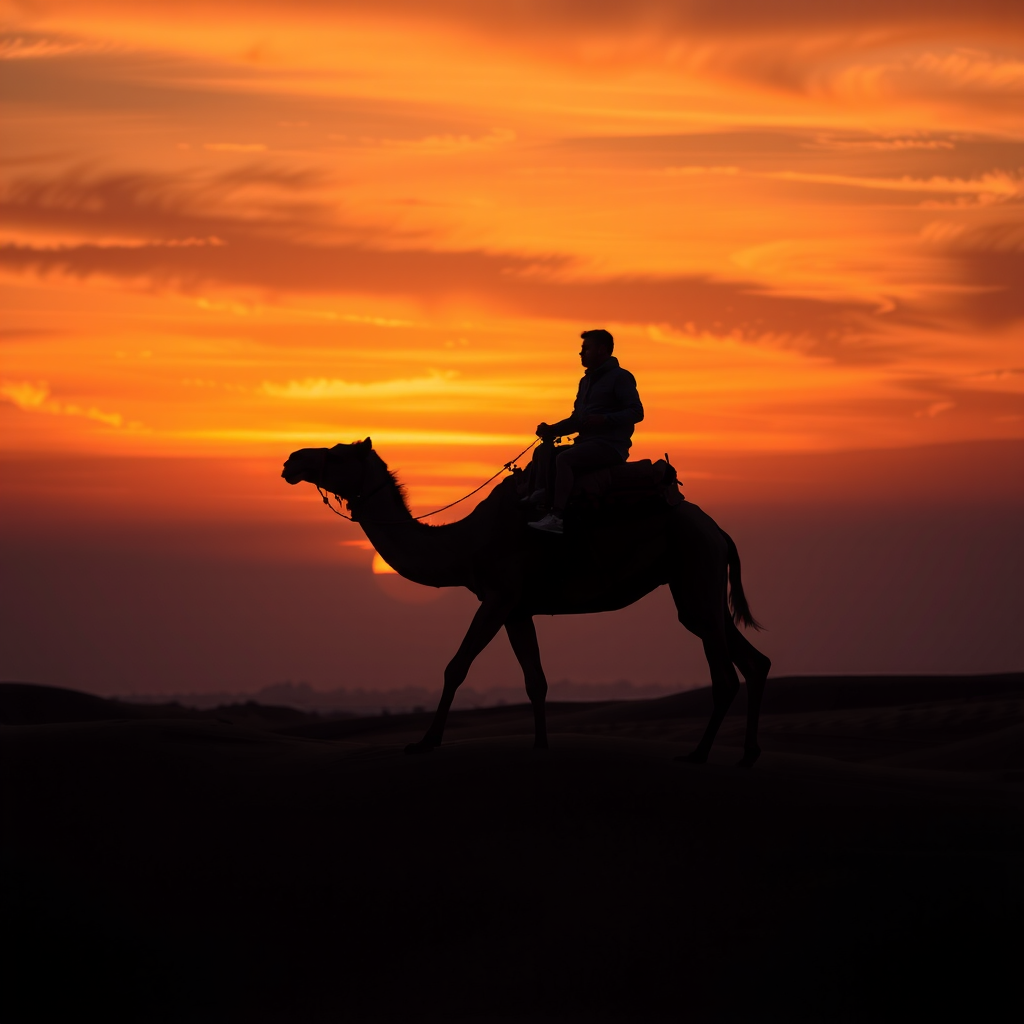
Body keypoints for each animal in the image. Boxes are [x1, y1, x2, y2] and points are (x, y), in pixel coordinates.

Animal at [282, 439, 771, 767]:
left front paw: (425, 742)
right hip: (702, 586)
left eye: (337, 453)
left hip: (695, 574)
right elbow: (536, 680)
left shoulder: (498, 597)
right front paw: (539, 745)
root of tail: (719, 531)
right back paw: (747, 754)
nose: (292, 459)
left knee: (725, 673)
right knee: (754, 661)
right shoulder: (518, 609)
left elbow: (456, 667)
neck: (465, 543)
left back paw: (699, 753)